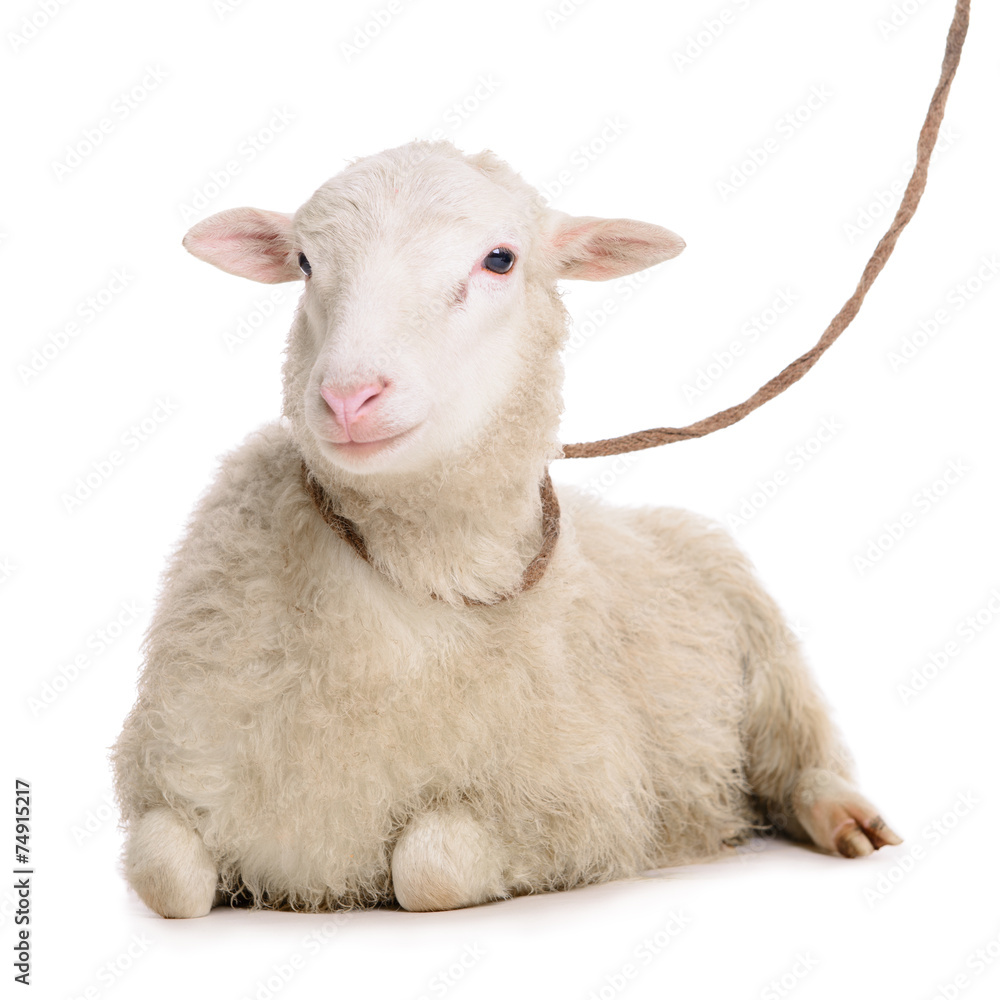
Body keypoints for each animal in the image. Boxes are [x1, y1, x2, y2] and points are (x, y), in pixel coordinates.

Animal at [112, 139, 901, 918]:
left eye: (500, 259)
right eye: (305, 262)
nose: (347, 397)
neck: (415, 571)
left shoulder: (583, 801)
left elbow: (430, 866)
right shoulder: (177, 774)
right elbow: (166, 877)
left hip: (767, 659)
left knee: (801, 757)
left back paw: (842, 819)